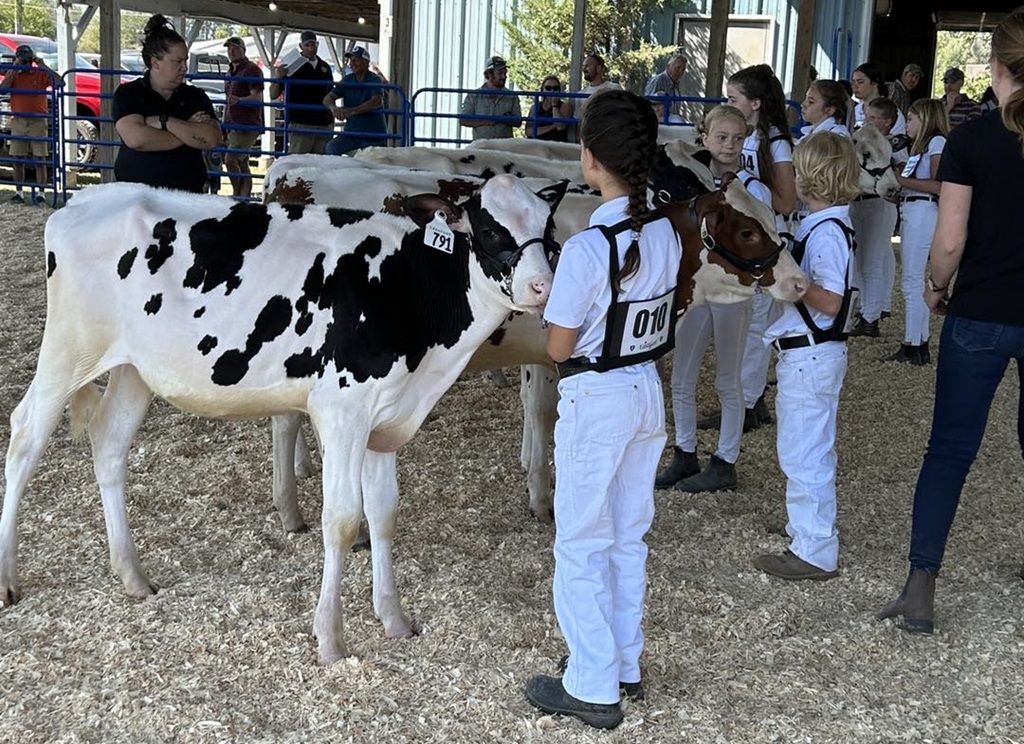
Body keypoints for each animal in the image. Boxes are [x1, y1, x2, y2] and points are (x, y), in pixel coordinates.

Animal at [0, 175, 563, 665]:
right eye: (490, 229)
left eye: (549, 228)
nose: (543, 286)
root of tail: (84, 200)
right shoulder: (342, 412)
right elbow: (342, 521)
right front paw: (331, 639)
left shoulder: (384, 421)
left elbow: (383, 514)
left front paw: (394, 618)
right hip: (69, 350)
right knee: (25, 436)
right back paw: (9, 577)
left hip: (134, 370)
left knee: (109, 443)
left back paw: (132, 575)